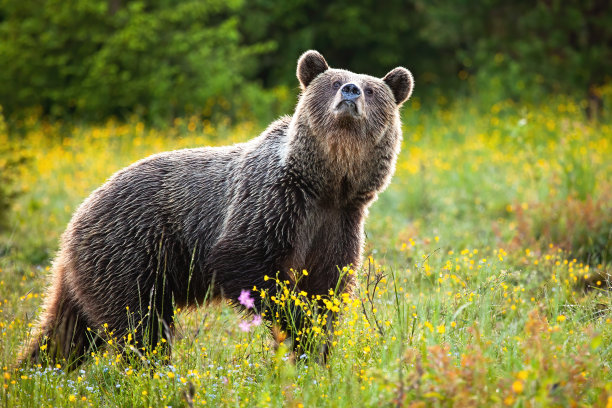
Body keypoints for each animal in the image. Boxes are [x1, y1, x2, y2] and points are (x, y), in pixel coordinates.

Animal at [20, 50, 412, 366]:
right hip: (131, 250)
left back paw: (35, 370)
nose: (351, 91)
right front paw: (295, 325)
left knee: (67, 332)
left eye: (372, 89)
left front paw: (314, 350)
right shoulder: (273, 204)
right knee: (139, 322)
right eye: (332, 82)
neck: (325, 183)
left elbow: (327, 289)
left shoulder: (338, 223)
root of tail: (79, 212)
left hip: (99, 266)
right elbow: (249, 265)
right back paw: (154, 371)